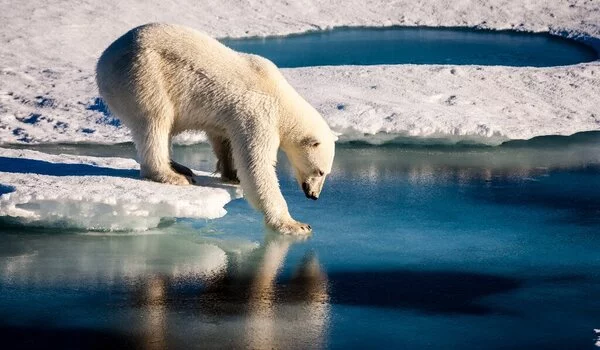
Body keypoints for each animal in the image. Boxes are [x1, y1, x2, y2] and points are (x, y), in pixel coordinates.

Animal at [96, 23, 336, 234]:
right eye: (320, 171)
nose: (314, 195)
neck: (280, 97)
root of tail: (103, 60)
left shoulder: (231, 116)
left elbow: (224, 139)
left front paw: (232, 174)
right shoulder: (259, 114)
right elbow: (257, 166)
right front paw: (295, 224)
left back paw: (180, 167)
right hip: (144, 75)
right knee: (155, 121)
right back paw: (171, 175)